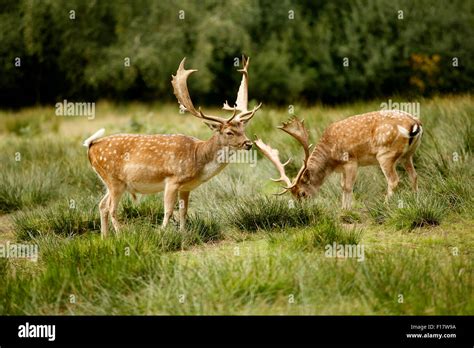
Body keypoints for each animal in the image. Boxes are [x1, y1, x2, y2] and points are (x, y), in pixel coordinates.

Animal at [83, 56, 262, 237]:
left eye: (243, 129)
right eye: (229, 132)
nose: (248, 143)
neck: (198, 158)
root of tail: (91, 146)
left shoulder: (186, 187)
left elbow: (184, 211)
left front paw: (183, 233)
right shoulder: (172, 180)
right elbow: (168, 211)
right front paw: (161, 233)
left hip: (110, 182)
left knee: (102, 205)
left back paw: (105, 237)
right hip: (114, 180)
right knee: (112, 208)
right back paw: (122, 235)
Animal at [256, 111, 422, 209]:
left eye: (302, 193)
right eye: (293, 196)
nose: (303, 211)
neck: (331, 159)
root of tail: (415, 124)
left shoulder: (351, 161)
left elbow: (348, 186)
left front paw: (347, 209)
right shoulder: (342, 167)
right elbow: (342, 186)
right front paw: (343, 208)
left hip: (385, 154)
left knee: (394, 180)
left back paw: (385, 205)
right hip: (408, 155)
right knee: (414, 175)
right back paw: (415, 199)